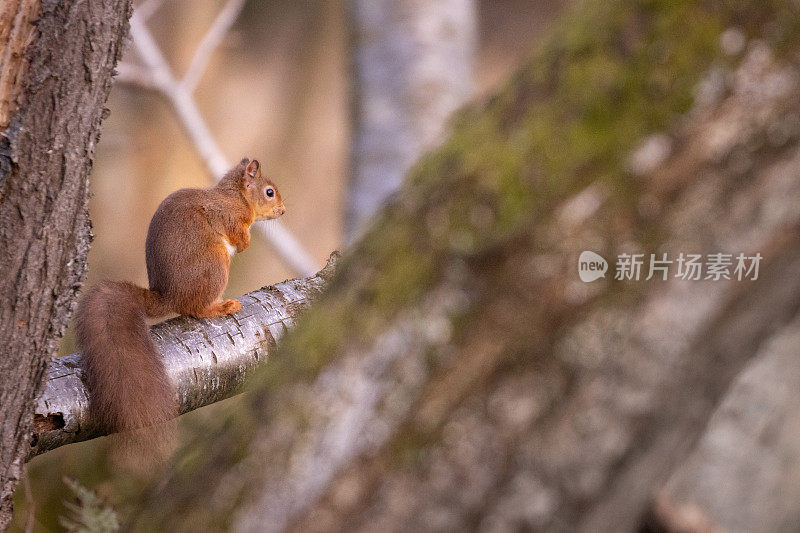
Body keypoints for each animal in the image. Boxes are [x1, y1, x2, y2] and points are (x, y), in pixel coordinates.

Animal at [75, 158, 286, 440]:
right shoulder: (225, 215)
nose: (283, 211)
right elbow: (236, 232)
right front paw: (245, 243)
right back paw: (222, 306)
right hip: (215, 264)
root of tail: (168, 296)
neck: (235, 196)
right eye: (269, 192)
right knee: (196, 309)